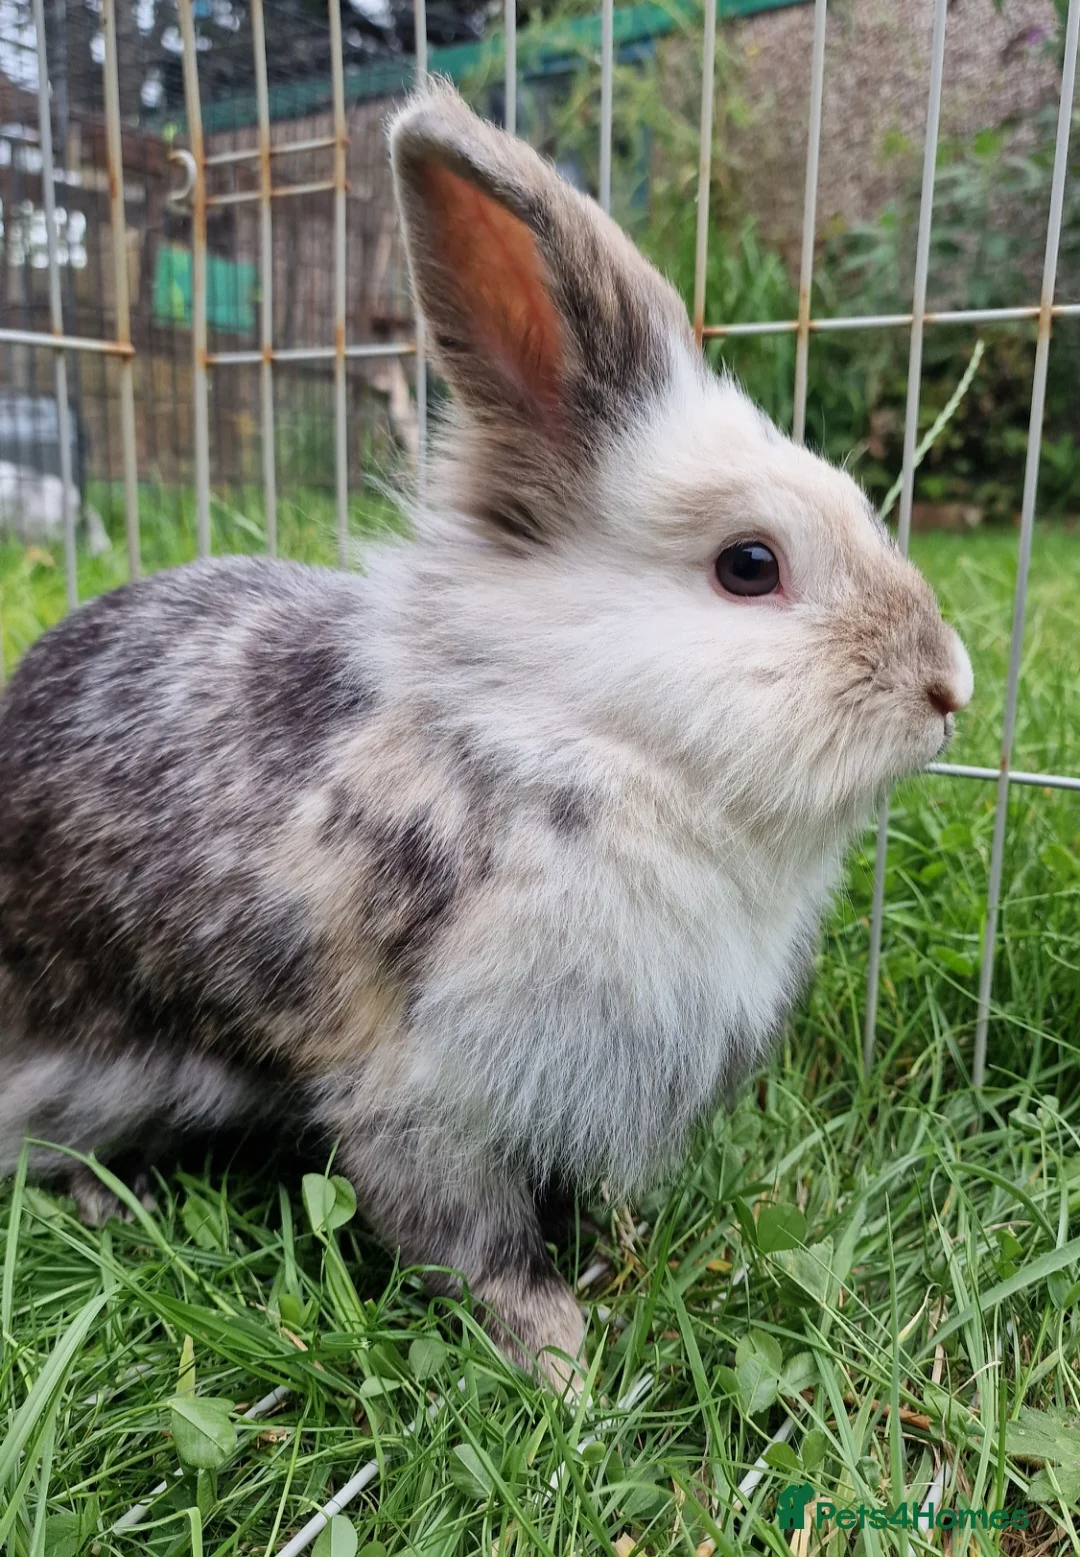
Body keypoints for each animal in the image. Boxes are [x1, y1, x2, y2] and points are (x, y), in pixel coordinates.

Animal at [0, 81, 972, 1389]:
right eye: (748, 567)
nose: (948, 686)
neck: (574, 732)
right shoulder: (426, 1089)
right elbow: (467, 1231)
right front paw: (562, 1365)